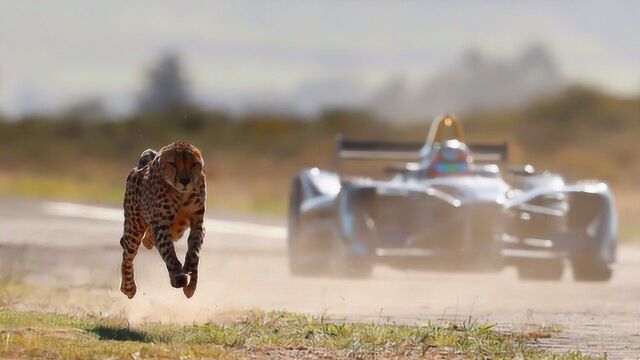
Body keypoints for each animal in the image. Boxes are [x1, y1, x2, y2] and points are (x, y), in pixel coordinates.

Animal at [120, 141, 208, 298]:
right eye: (173, 164)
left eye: (194, 164)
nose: (185, 180)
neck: (181, 194)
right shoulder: (162, 225)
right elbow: (169, 252)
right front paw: (178, 276)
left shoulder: (198, 222)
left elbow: (194, 251)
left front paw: (191, 281)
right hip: (134, 226)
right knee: (127, 254)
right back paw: (128, 287)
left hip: (176, 229)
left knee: (148, 239)